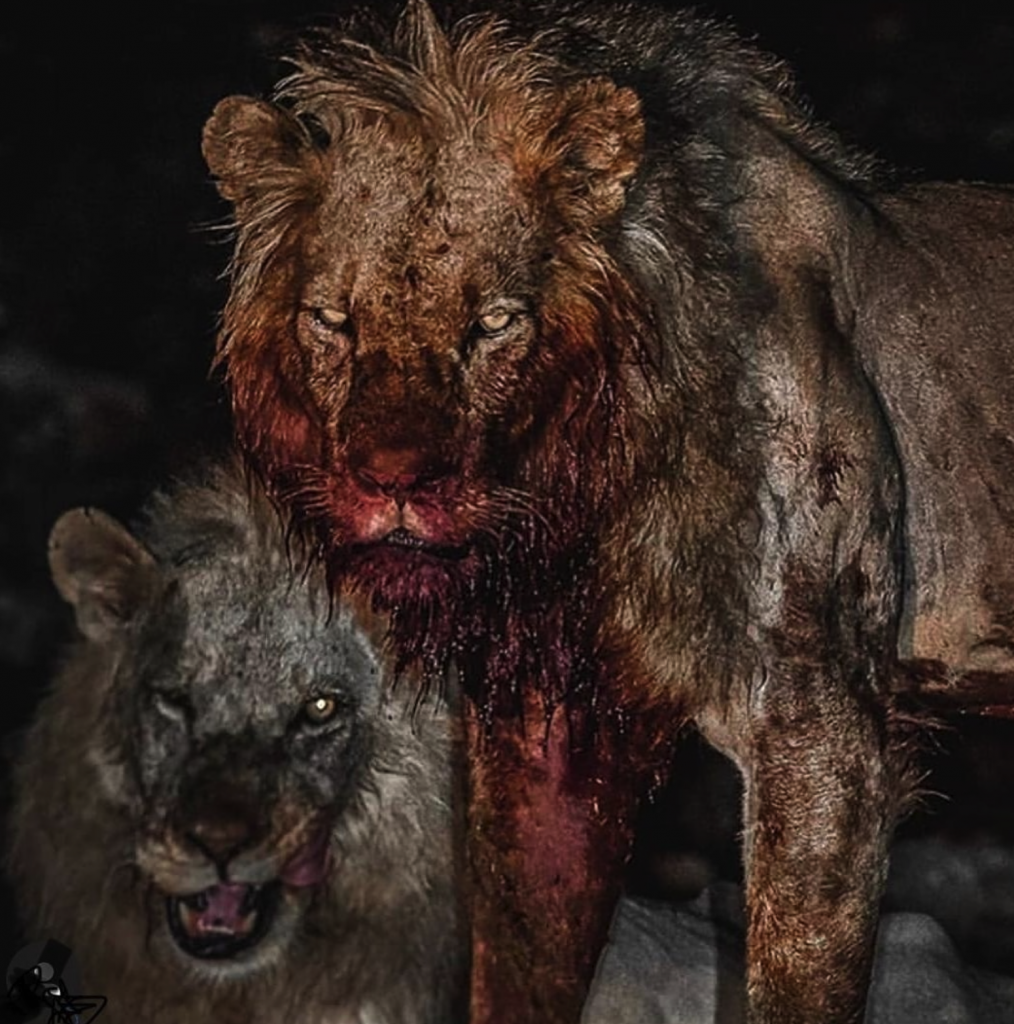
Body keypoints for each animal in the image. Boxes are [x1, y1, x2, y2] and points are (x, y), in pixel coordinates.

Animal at [200, 1, 1014, 1021]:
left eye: (494, 323)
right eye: (333, 321)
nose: (396, 483)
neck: (585, 494)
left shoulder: (822, 728)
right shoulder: (546, 734)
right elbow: (517, 963)